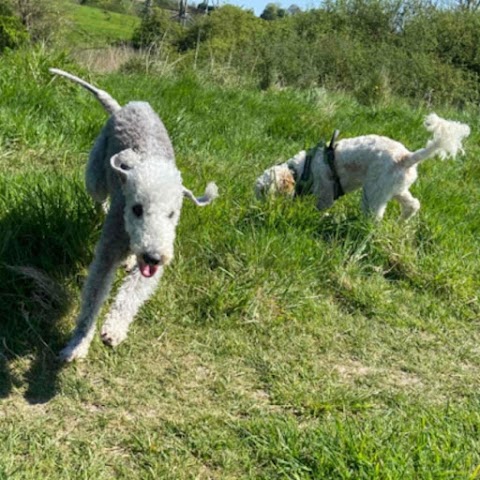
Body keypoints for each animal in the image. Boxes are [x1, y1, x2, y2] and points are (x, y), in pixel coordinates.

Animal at [49, 67, 218, 360]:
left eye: (172, 214)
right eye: (137, 208)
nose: (153, 256)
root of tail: (127, 105)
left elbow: (134, 292)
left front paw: (113, 330)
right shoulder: (109, 247)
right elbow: (93, 298)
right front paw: (77, 344)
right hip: (95, 176)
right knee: (98, 196)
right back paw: (104, 211)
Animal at [255, 115, 468, 220]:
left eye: (263, 192)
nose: (259, 208)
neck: (303, 169)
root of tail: (406, 157)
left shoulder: (325, 195)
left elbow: (320, 209)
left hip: (373, 194)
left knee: (375, 218)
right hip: (394, 189)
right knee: (413, 205)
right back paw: (401, 224)